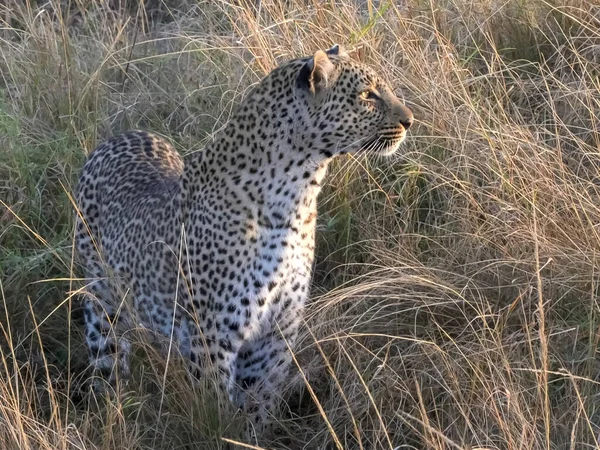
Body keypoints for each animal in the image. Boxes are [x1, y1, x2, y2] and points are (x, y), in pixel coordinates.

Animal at [74, 44, 412, 434]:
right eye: (367, 95)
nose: (410, 121)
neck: (297, 199)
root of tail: (117, 137)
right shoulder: (212, 334)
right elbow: (216, 408)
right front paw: (222, 432)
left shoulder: (277, 334)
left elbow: (258, 402)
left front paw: (252, 434)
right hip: (103, 303)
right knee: (107, 358)